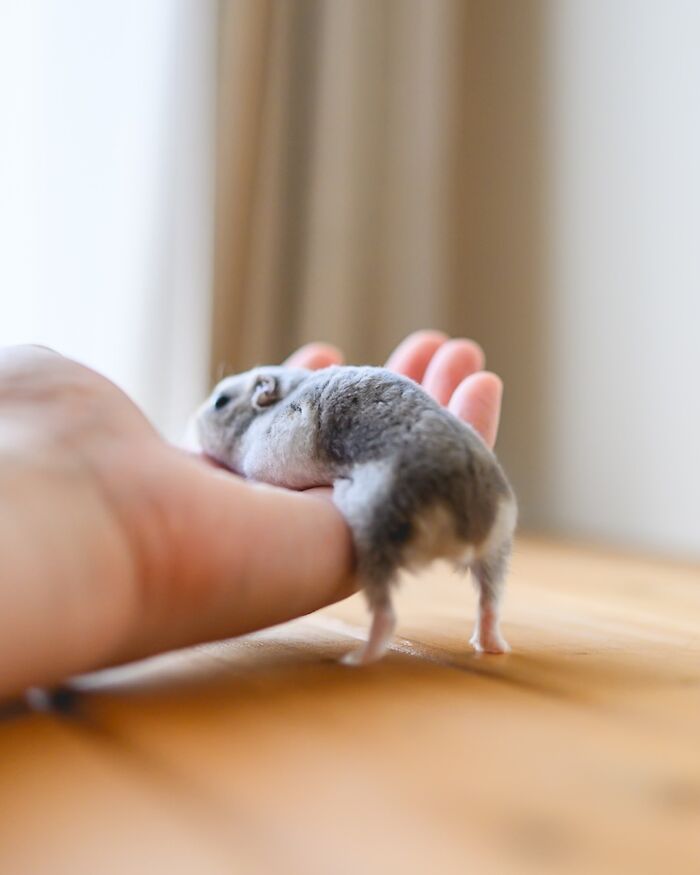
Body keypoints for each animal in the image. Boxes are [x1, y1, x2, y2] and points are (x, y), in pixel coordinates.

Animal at [196, 365, 517, 665]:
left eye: (220, 402)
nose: (192, 423)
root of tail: (469, 517)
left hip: (374, 529)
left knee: (386, 615)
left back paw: (357, 658)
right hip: (498, 544)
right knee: (490, 600)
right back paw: (492, 645)